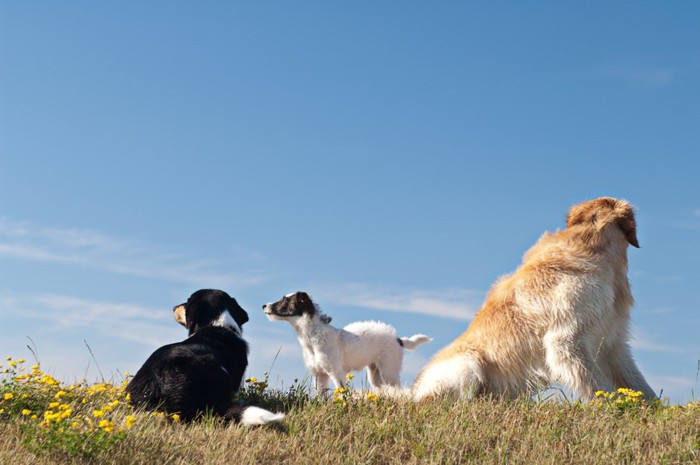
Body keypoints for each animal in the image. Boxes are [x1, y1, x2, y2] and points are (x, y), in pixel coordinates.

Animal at [410, 196, 656, 398]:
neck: (593, 247)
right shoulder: (566, 341)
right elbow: (602, 388)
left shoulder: (613, 342)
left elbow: (642, 387)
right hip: (468, 363)